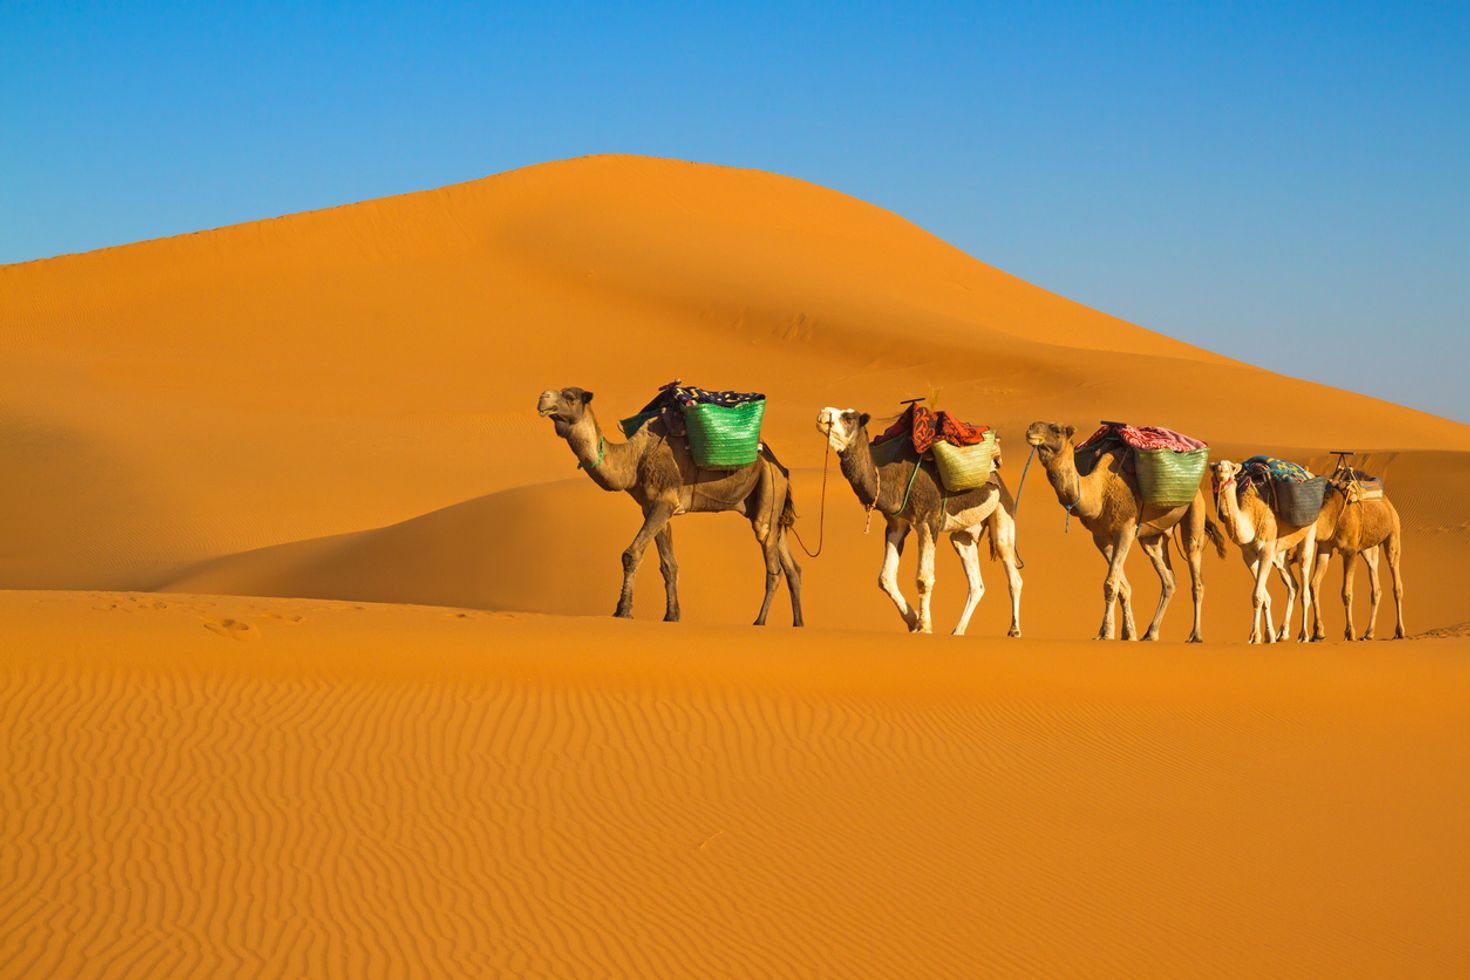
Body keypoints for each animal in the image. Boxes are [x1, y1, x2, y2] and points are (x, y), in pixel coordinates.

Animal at [537, 386, 803, 626]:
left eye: (570, 396)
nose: (542, 398)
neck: (634, 459)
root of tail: (780, 467)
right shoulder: (653, 507)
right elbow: (669, 565)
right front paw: (672, 615)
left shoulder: (664, 501)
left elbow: (631, 554)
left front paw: (623, 611)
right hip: (771, 505)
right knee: (792, 567)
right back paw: (798, 623)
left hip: (769, 486)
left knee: (772, 564)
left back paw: (760, 621)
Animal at [816, 408, 1022, 636]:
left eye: (849, 417)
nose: (823, 413)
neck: (892, 480)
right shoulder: (896, 524)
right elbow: (885, 578)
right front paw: (912, 619)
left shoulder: (927, 520)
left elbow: (923, 579)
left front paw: (923, 626)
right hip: (964, 535)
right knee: (976, 582)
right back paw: (958, 631)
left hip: (1003, 509)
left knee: (1011, 568)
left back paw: (1014, 630)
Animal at [1024, 422, 1225, 642]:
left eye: (1056, 430)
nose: (1031, 431)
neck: (1099, 492)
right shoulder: (1101, 537)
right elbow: (1122, 587)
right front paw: (1125, 632)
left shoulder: (1125, 530)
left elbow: (1111, 584)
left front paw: (1107, 633)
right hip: (1152, 538)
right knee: (1168, 579)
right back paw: (1151, 633)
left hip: (1194, 510)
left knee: (1196, 572)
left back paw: (1195, 635)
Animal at [1210, 459, 1320, 643]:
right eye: (1215, 467)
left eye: (1231, 468)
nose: (1222, 472)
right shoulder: (1248, 555)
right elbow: (1263, 597)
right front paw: (1267, 636)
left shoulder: (1266, 550)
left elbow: (1257, 596)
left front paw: (1255, 636)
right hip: (1279, 553)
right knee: (1293, 585)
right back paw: (1283, 633)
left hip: (1308, 533)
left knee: (1304, 580)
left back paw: (1303, 635)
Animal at [1308, 479, 1405, 641]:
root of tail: (1388, 504)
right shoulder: (1324, 547)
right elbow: (1313, 585)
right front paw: (1318, 633)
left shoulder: (1350, 552)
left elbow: (1346, 593)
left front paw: (1349, 632)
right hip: (1368, 549)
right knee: (1376, 585)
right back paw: (1368, 633)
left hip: (1393, 534)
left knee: (1396, 580)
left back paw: (1400, 631)